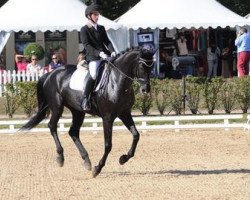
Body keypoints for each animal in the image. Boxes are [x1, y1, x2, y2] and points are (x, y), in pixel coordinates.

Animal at [21, 47, 155, 177]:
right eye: (142, 66)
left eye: (152, 67)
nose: (146, 89)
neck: (117, 81)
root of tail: (50, 74)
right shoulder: (108, 117)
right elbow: (108, 145)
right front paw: (98, 168)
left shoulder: (125, 113)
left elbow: (136, 135)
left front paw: (123, 158)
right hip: (57, 107)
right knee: (52, 126)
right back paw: (60, 157)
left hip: (78, 111)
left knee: (73, 132)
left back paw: (86, 160)